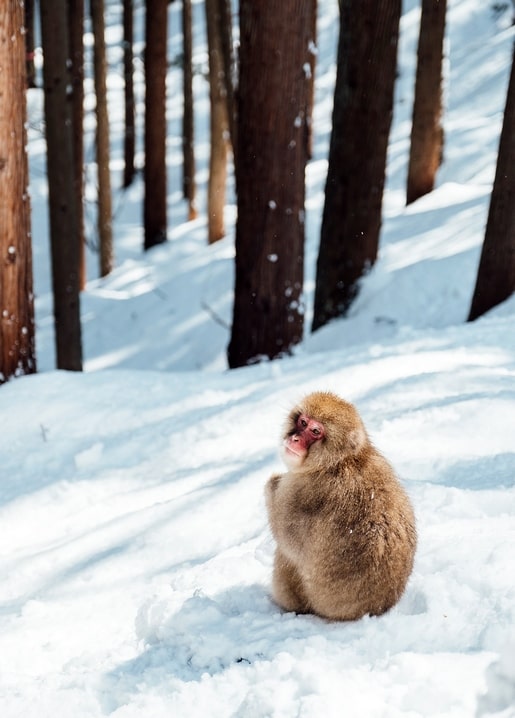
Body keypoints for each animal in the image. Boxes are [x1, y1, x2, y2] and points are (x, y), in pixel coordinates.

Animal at [265, 391, 417, 621]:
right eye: (303, 422)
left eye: (315, 431)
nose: (295, 438)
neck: (340, 461)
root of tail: (373, 610)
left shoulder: (300, 491)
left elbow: (287, 539)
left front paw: (272, 482)